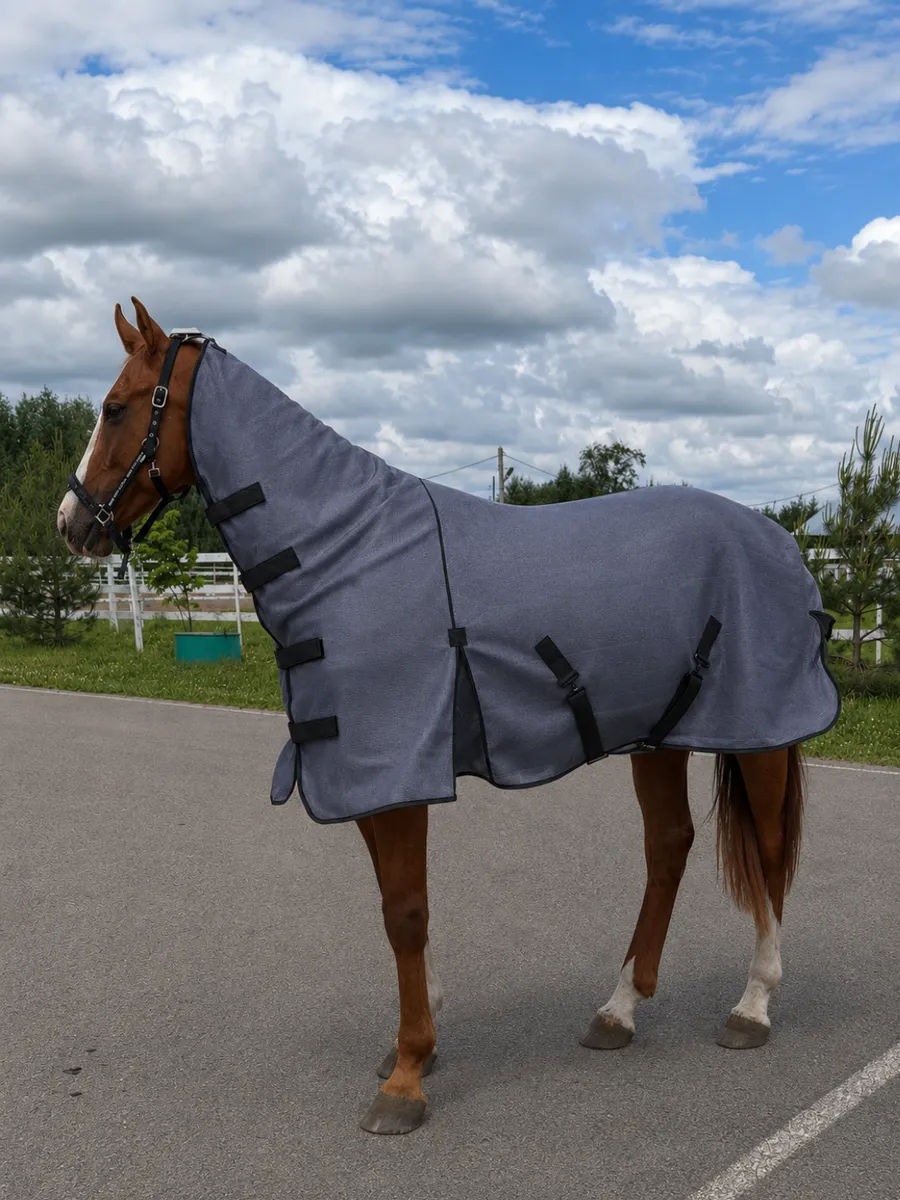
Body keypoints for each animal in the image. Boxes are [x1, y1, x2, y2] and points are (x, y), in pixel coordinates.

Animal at [58, 299, 839, 1136]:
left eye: (115, 408)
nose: (72, 523)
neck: (350, 550)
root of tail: (779, 538)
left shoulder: (397, 769)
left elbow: (405, 912)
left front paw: (406, 1077)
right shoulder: (366, 772)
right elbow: (394, 907)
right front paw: (418, 1041)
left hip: (758, 736)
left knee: (766, 852)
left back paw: (752, 1006)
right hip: (654, 735)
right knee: (669, 846)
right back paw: (619, 1010)